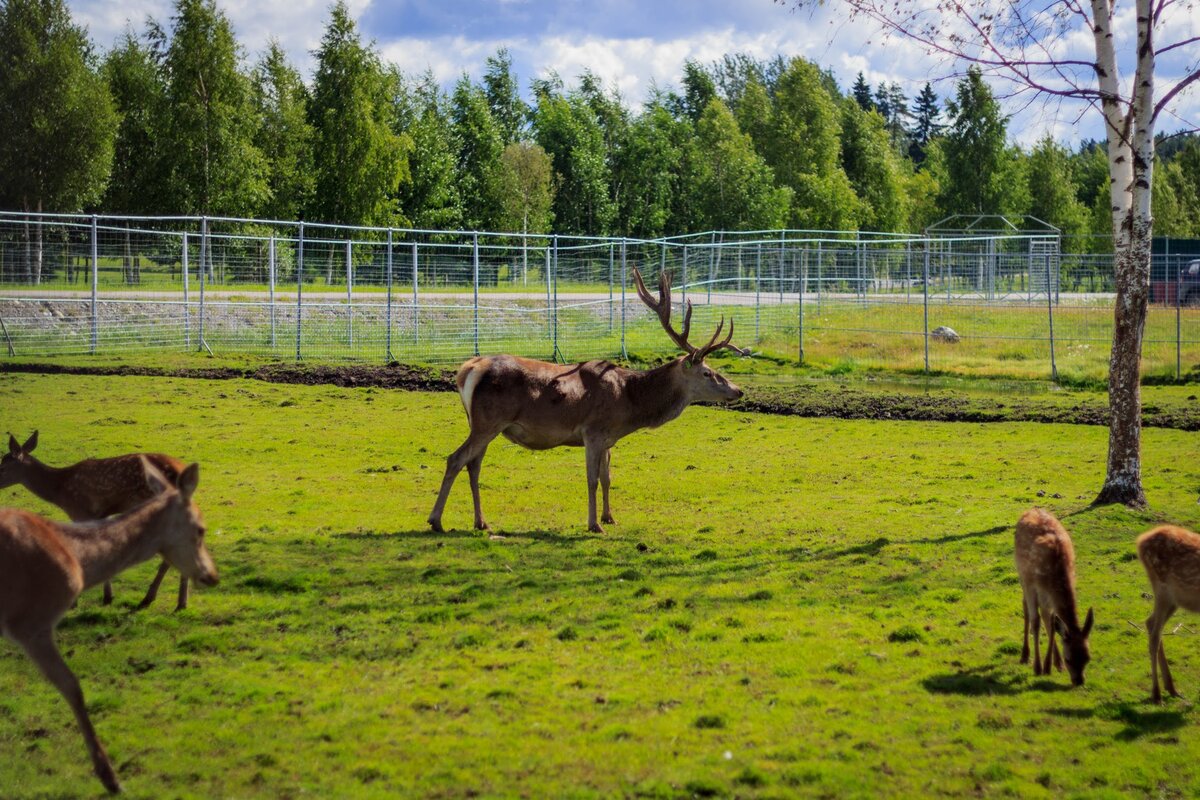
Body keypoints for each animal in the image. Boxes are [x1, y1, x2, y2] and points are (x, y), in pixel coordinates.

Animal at [0, 455, 218, 796]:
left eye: (5, 463)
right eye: (201, 529)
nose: (212, 574)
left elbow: (71, 686)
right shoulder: (29, 622)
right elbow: (71, 687)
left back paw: (165, 599)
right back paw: (168, 599)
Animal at [1, 431, 192, 614]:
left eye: (2, 465)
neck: (60, 490)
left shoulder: (81, 512)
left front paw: (78, 601)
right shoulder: (100, 515)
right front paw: (108, 597)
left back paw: (153, 599)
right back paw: (179, 603)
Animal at [432, 266, 744, 534]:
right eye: (707, 372)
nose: (738, 390)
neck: (629, 403)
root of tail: (468, 369)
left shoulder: (608, 439)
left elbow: (607, 478)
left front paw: (610, 517)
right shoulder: (592, 431)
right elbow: (592, 479)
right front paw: (594, 524)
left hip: (482, 424)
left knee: (473, 464)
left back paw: (481, 522)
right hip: (488, 421)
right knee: (456, 458)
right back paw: (436, 520)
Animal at [1012, 510, 1099, 686]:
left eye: (1088, 658)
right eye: (1069, 659)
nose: (1079, 681)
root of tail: (1029, 510)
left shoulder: (1051, 595)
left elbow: (1052, 624)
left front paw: (1050, 666)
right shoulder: (1032, 585)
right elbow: (1036, 622)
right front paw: (1038, 668)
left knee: (1047, 617)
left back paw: (1054, 664)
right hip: (1022, 574)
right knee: (1026, 608)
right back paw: (1025, 656)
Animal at [1132, 527, 1200, 705]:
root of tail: (1141, 540)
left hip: (1174, 599)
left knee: (1150, 623)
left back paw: (1171, 688)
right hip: (1162, 588)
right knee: (1155, 634)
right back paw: (1157, 694)